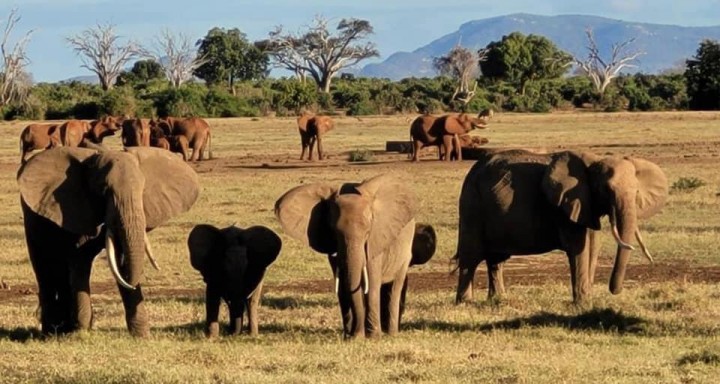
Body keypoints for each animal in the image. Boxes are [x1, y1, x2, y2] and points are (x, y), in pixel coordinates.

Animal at [18, 146, 198, 338]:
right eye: (103, 191)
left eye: (143, 190)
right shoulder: (75, 209)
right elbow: (79, 260)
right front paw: (81, 334)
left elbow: (120, 259)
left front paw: (141, 336)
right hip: (31, 218)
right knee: (44, 267)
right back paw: (52, 333)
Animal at [274, 174, 434, 340]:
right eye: (333, 230)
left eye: (368, 231)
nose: (357, 334)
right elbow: (343, 285)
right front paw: (351, 337)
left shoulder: (376, 241)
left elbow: (372, 283)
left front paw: (373, 337)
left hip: (405, 252)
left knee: (395, 287)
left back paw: (391, 334)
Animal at [456, 149, 668, 304]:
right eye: (605, 190)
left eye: (637, 192)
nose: (615, 290)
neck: (594, 161)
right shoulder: (566, 205)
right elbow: (579, 248)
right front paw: (582, 304)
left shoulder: (586, 204)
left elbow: (593, 247)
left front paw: (589, 301)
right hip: (471, 204)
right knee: (470, 257)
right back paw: (465, 303)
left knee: (495, 259)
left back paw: (498, 300)